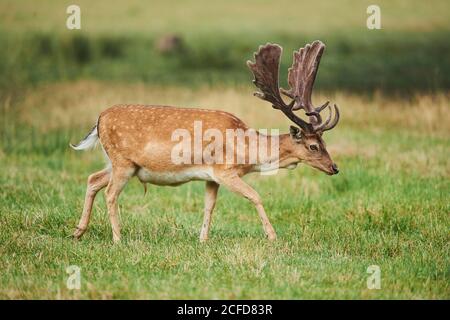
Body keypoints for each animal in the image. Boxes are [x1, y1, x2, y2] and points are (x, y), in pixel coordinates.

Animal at [70, 42, 340, 242]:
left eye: (325, 143)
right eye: (314, 146)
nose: (334, 167)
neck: (246, 151)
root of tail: (100, 118)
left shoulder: (211, 177)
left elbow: (209, 205)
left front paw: (202, 239)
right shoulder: (225, 171)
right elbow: (255, 196)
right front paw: (272, 237)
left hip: (122, 164)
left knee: (93, 179)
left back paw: (78, 232)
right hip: (123, 162)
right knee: (110, 193)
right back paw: (118, 239)